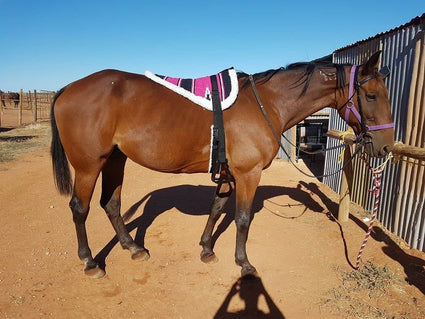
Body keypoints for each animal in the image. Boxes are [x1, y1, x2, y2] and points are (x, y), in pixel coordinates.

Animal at [51, 51, 392, 278]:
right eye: (372, 96)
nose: (385, 146)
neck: (265, 104)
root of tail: (67, 88)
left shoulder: (228, 173)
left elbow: (216, 209)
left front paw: (206, 249)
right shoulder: (248, 174)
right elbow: (242, 219)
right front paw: (244, 263)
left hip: (114, 160)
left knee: (111, 203)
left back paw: (133, 248)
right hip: (88, 166)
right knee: (80, 208)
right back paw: (90, 262)